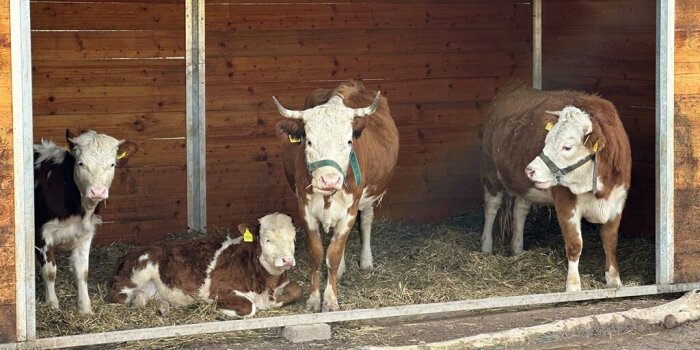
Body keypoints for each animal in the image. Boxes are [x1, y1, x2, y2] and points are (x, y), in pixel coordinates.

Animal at [33, 129, 135, 314]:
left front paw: (85, 308)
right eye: (80, 163)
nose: (97, 192)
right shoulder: (42, 233)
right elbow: (50, 272)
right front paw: (52, 305)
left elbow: (82, 272)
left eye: (112, 165)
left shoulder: (85, 233)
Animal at [107, 211, 300, 318]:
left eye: (293, 238)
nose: (287, 260)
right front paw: (218, 309)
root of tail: (128, 253)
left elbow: (297, 289)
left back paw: (162, 307)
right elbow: (249, 306)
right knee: (119, 298)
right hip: (139, 271)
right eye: (267, 239)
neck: (266, 284)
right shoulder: (217, 291)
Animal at [274, 80, 400, 312]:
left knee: (366, 220)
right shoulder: (304, 208)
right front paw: (314, 299)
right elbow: (317, 254)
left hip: (368, 195)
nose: (330, 181)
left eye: (349, 142)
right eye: (309, 142)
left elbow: (333, 254)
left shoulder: (350, 209)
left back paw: (365, 261)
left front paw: (331, 300)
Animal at [482, 85, 636, 292]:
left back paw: (517, 248)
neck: (600, 190)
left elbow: (610, 241)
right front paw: (573, 286)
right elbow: (575, 244)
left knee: (520, 211)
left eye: (567, 147)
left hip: (524, 186)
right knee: (491, 208)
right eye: (546, 140)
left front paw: (614, 280)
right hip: (490, 172)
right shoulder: (566, 202)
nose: (530, 170)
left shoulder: (617, 201)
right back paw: (486, 247)